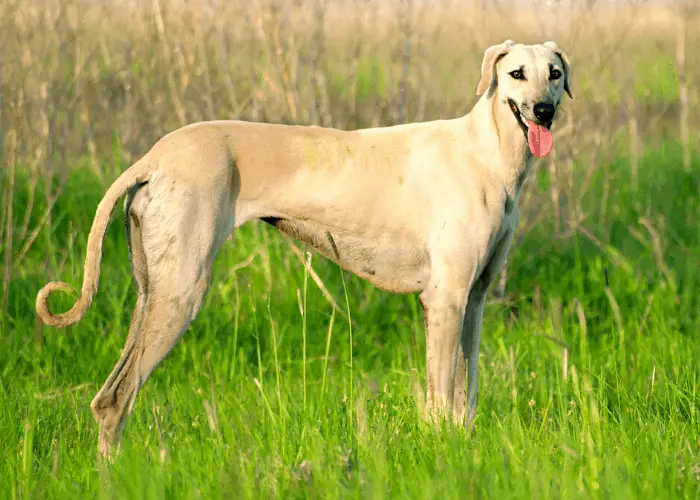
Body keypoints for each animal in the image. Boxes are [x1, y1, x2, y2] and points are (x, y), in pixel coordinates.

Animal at [35, 40, 576, 458]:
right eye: (515, 73)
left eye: (554, 74)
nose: (543, 111)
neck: (486, 152)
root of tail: (154, 157)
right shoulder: (444, 301)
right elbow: (440, 400)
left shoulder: (474, 301)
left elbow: (466, 394)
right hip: (180, 294)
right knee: (115, 399)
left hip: (152, 293)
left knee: (110, 396)